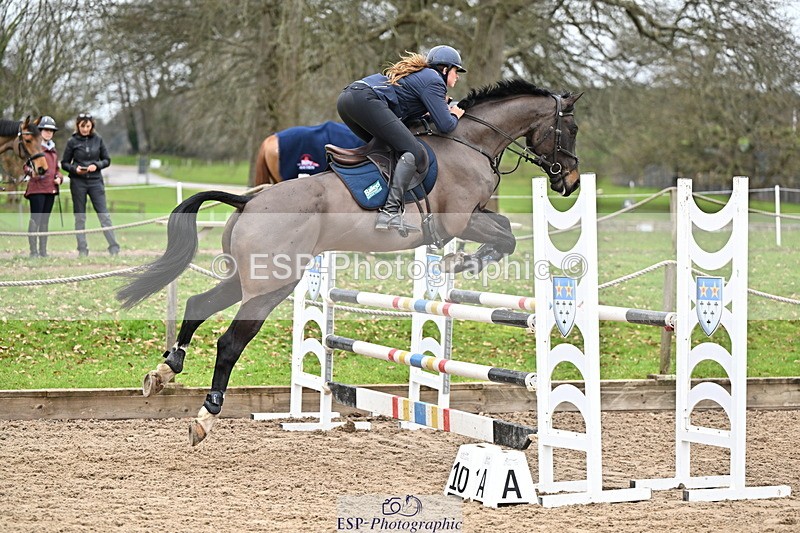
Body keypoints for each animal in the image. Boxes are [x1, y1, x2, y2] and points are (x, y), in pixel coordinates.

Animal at [117, 79, 582, 445]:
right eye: (572, 128)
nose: (570, 183)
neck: (469, 143)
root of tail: (249, 200)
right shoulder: (460, 219)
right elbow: (504, 236)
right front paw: (462, 263)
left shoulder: (470, 217)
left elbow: (503, 230)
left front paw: (459, 263)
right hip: (272, 286)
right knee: (230, 342)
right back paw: (205, 416)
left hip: (251, 279)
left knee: (199, 305)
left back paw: (165, 371)